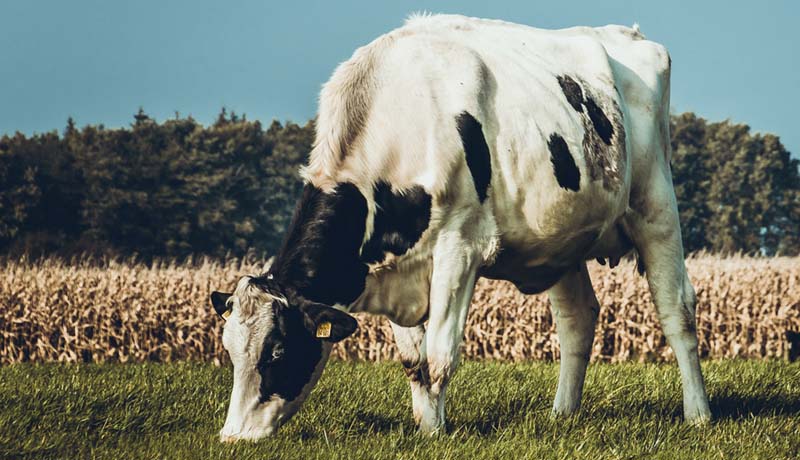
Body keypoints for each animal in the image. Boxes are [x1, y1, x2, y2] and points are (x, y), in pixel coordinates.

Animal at [209, 14, 708, 442]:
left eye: (277, 351)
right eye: (230, 351)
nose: (232, 437)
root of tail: (631, 34)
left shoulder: (460, 249)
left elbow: (439, 355)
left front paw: (438, 434)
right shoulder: (397, 270)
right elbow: (413, 361)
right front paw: (426, 426)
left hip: (656, 206)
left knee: (677, 310)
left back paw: (698, 414)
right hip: (564, 239)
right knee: (577, 321)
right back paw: (562, 414)